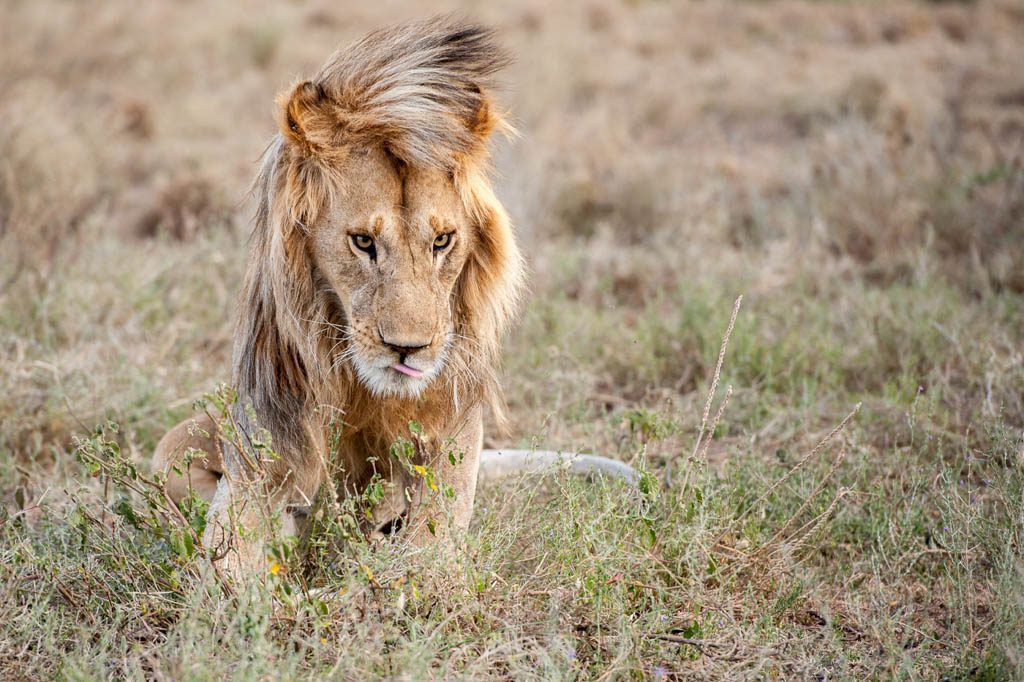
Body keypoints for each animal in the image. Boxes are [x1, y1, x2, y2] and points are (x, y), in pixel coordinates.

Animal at [153, 17, 634, 578]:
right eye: (363, 241)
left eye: (442, 240)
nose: (409, 350)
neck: (362, 387)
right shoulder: (262, 446)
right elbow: (227, 567)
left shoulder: (453, 438)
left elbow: (424, 556)